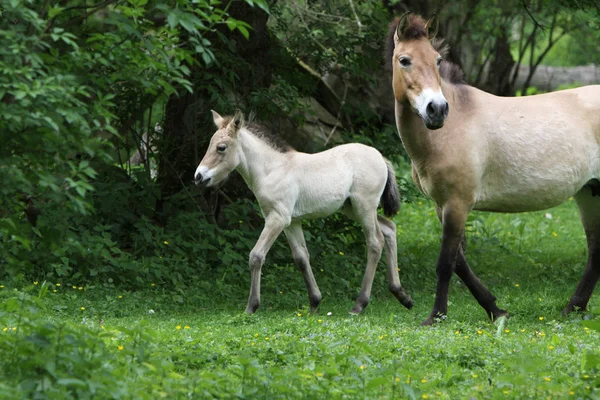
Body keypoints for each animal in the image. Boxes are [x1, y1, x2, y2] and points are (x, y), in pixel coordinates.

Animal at [195, 111, 414, 314]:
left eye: (221, 147)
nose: (198, 176)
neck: (272, 169)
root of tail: (380, 157)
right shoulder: (291, 222)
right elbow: (301, 258)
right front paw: (314, 302)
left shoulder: (277, 219)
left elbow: (256, 256)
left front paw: (251, 306)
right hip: (352, 208)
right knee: (389, 228)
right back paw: (402, 296)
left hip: (364, 207)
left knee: (375, 242)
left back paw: (359, 304)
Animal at [386, 12, 600, 324]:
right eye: (404, 60)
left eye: (437, 60)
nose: (436, 110)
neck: (451, 128)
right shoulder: (442, 205)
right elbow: (460, 264)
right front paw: (495, 309)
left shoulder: (458, 204)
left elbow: (445, 263)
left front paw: (436, 316)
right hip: (589, 193)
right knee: (596, 251)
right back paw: (574, 307)